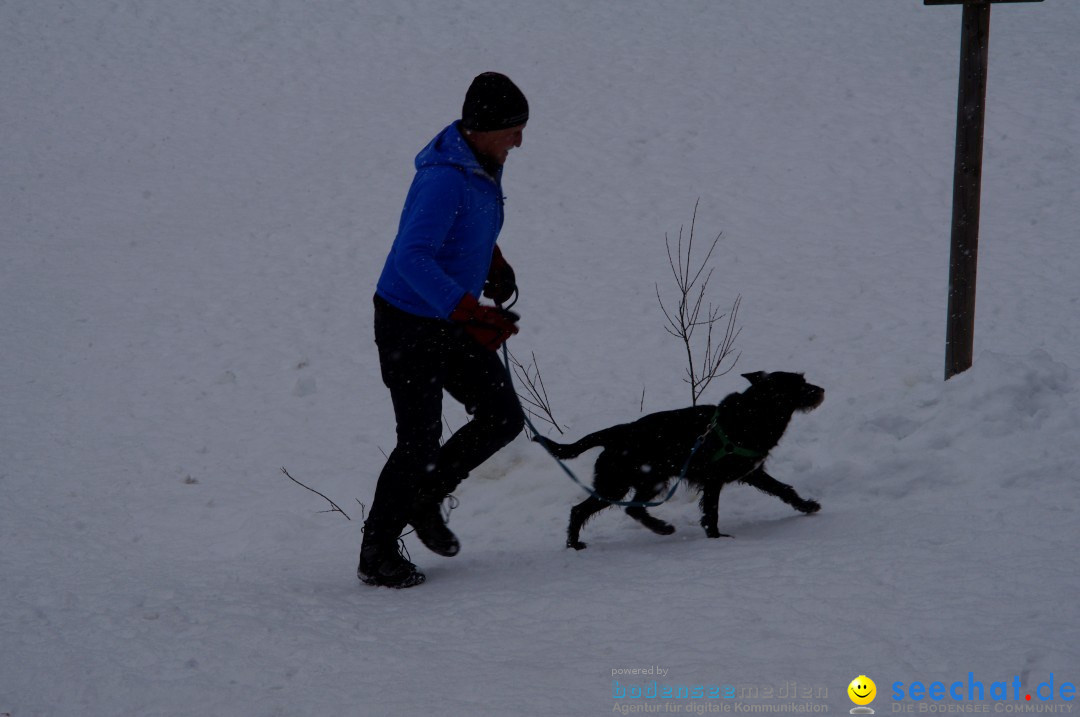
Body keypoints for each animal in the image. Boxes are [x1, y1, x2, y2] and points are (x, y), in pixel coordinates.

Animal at [533, 369, 825, 548]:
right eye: (799, 384)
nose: (821, 389)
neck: (752, 415)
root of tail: (616, 432)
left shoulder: (752, 472)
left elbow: (784, 489)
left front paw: (807, 505)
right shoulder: (714, 480)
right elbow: (711, 512)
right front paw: (716, 537)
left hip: (629, 483)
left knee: (599, 509)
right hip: (631, 482)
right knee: (616, 509)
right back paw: (658, 528)